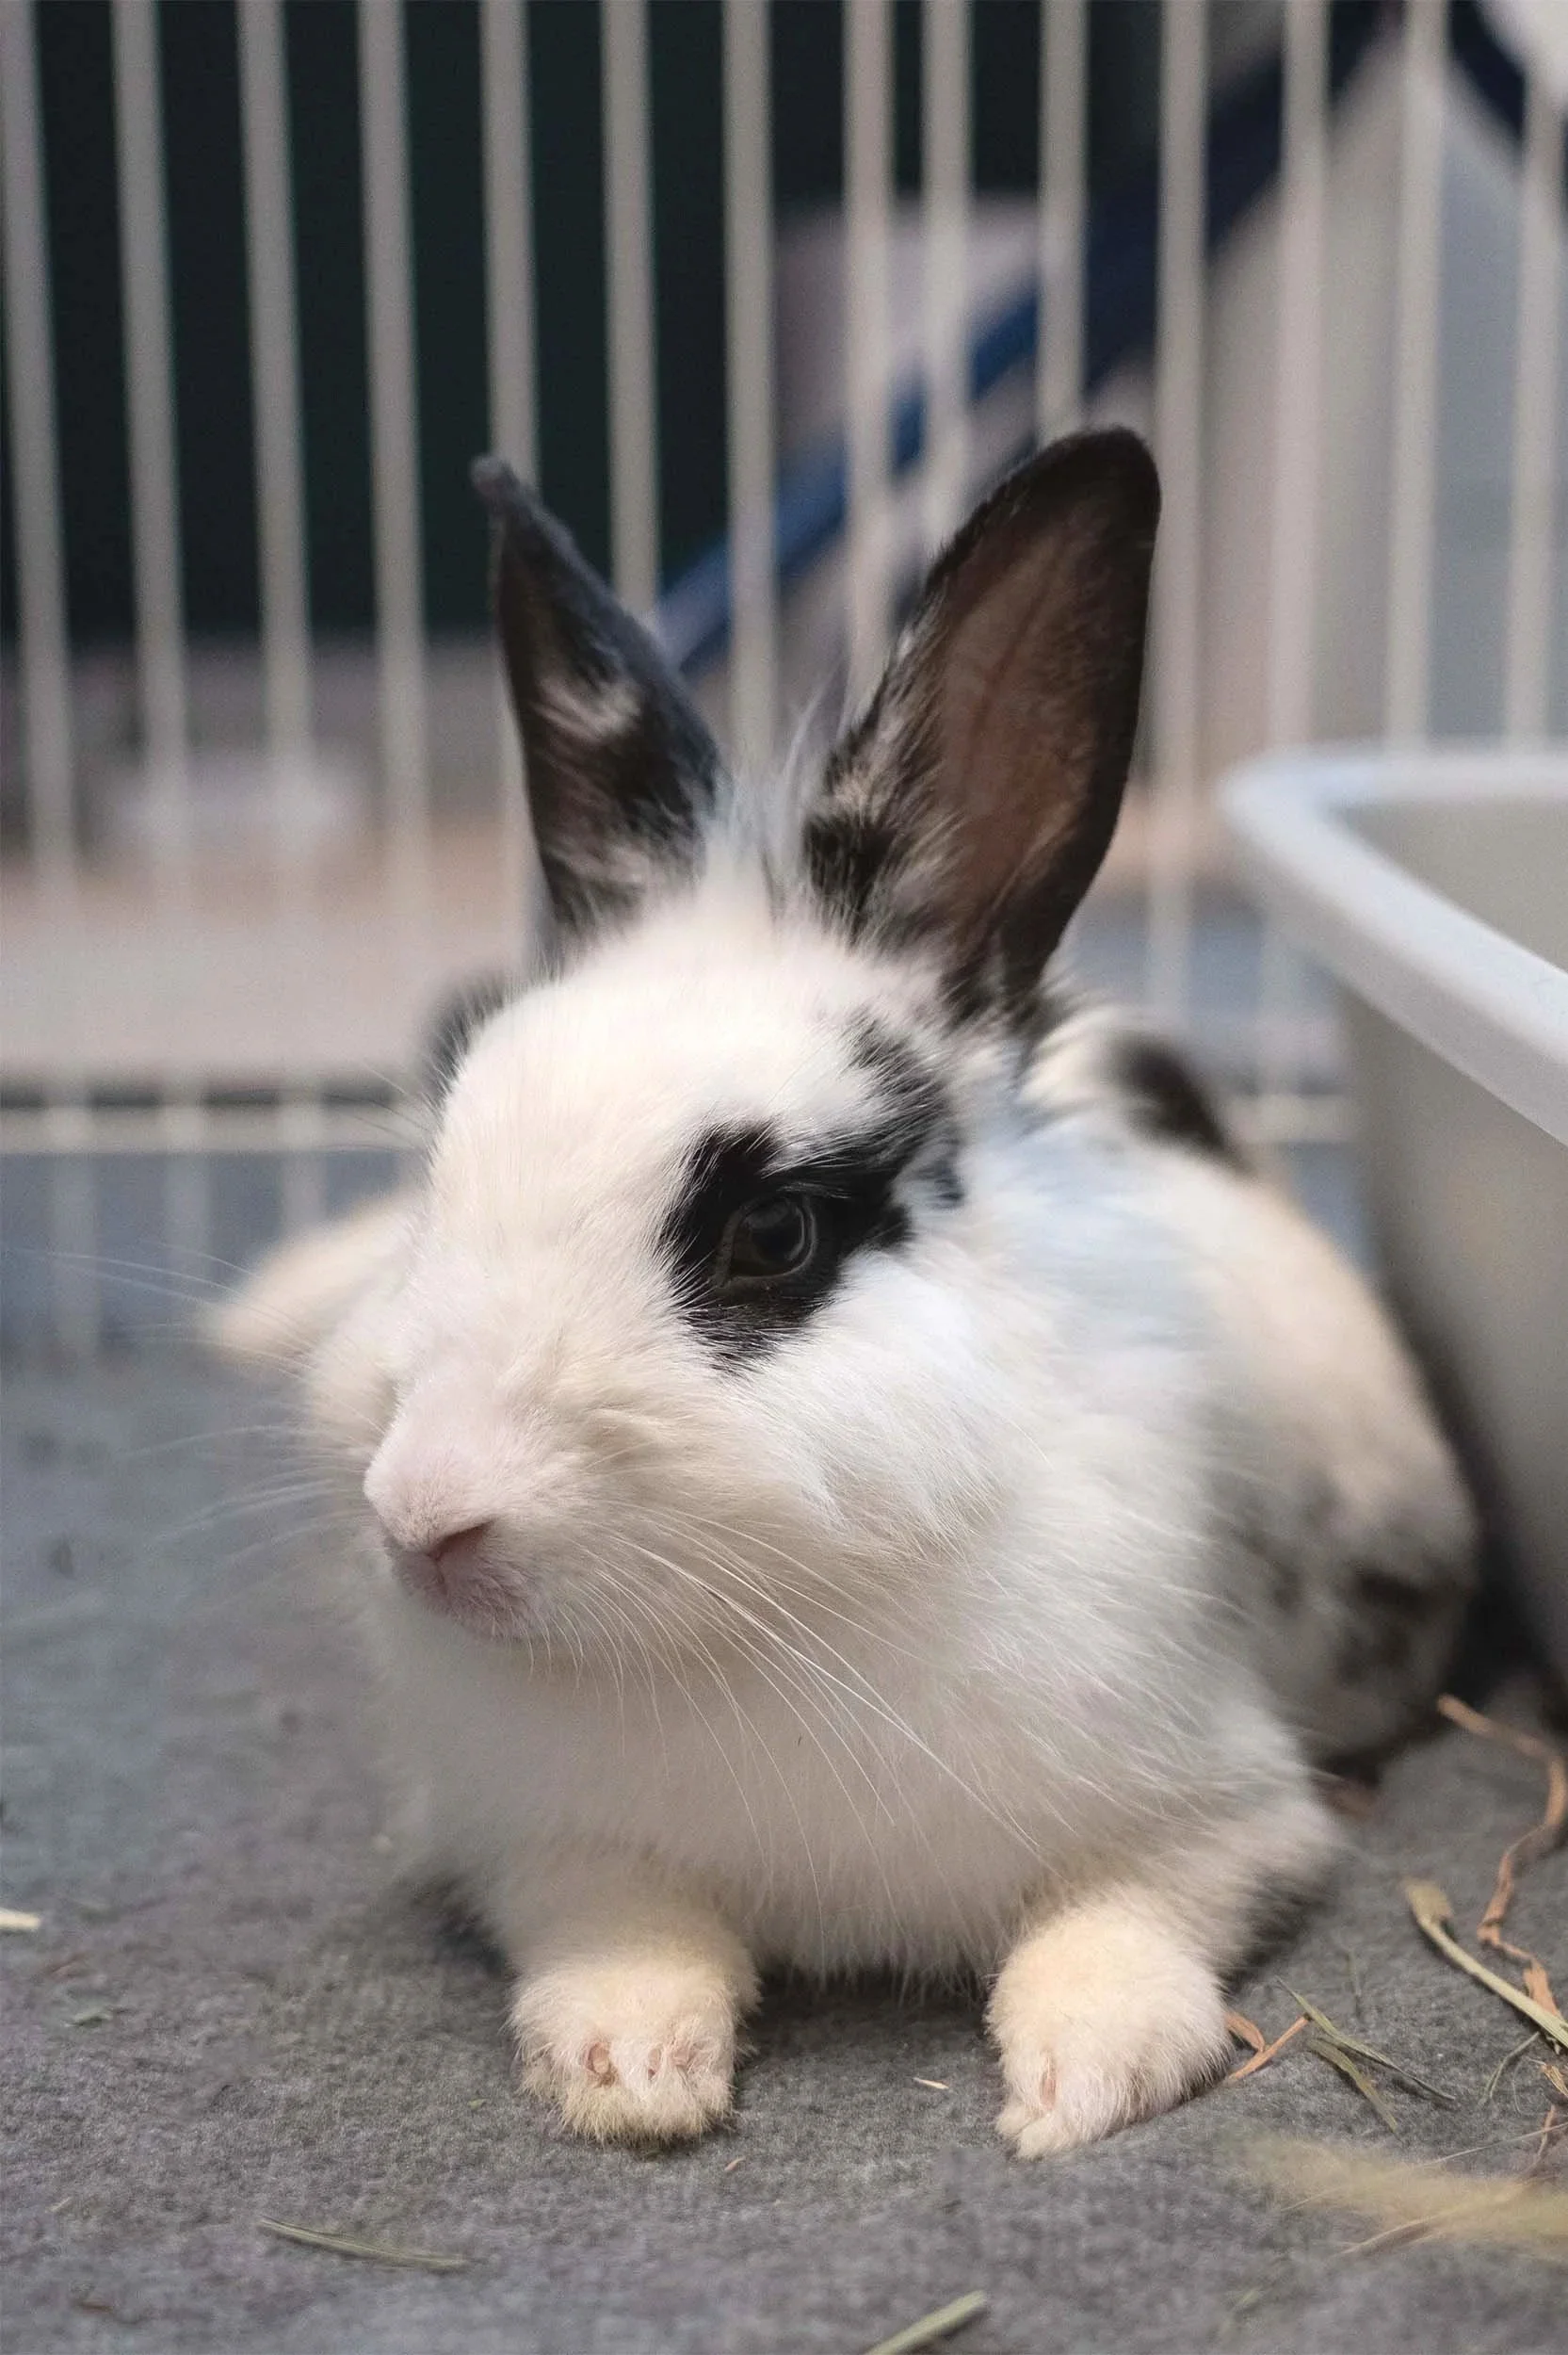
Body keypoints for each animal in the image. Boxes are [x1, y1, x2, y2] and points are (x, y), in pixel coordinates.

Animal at [213, 430, 1475, 2157]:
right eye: (443, 1166)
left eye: (773, 1236)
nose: (424, 1521)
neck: (768, 1622)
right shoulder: (536, 1844)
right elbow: (619, 1934)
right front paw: (632, 2077)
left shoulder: (1230, 1816)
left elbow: (1120, 1924)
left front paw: (1079, 2089)